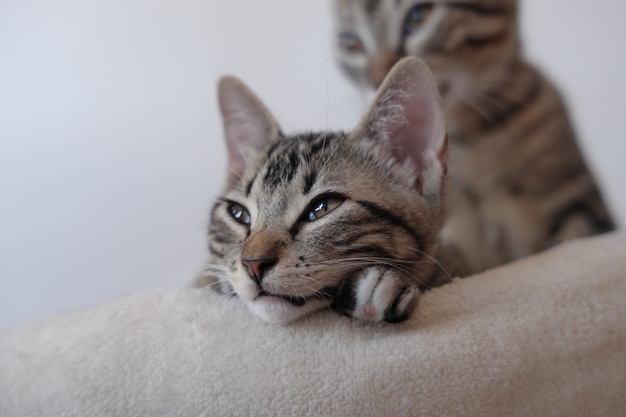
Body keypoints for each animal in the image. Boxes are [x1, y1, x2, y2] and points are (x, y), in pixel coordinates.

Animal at [334, 0, 612, 274]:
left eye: (418, 15)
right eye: (351, 43)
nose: (375, 80)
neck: (474, 134)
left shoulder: (573, 196)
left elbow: (574, 240)